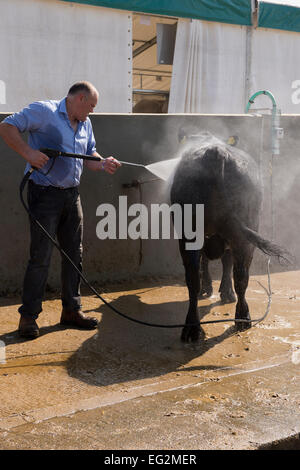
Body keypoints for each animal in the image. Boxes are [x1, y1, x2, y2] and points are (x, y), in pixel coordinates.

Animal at [171, 132, 290, 342]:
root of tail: (215, 151)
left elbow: (216, 263)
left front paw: (217, 290)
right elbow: (222, 264)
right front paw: (221, 291)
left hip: (193, 235)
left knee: (197, 277)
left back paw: (194, 327)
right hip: (240, 234)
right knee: (240, 275)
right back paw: (241, 318)